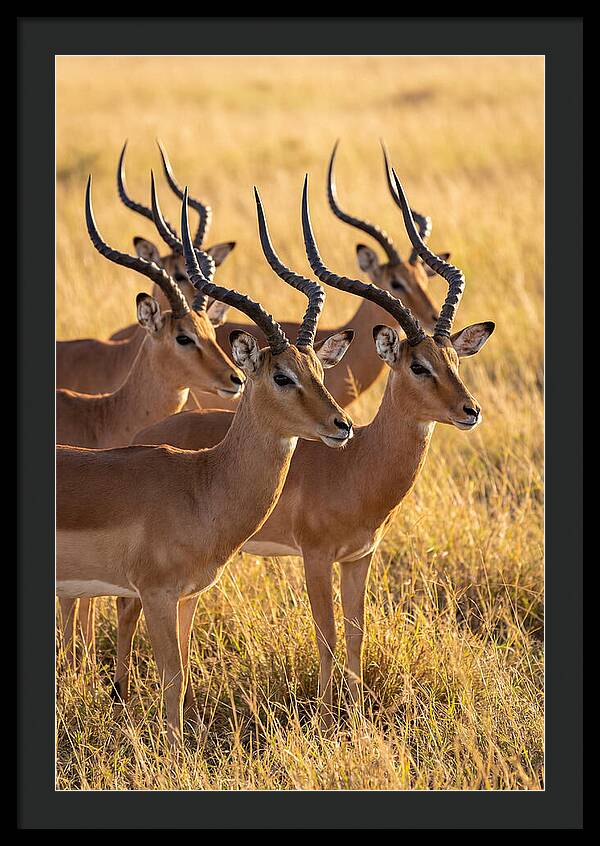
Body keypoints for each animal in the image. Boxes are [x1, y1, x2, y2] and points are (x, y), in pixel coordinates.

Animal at [56, 186, 355, 744]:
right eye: (281, 375)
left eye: (319, 370)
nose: (341, 425)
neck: (201, 485)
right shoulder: (154, 594)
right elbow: (171, 678)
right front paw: (173, 752)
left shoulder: (188, 596)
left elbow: (185, 668)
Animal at [127, 170, 495, 726]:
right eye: (418, 365)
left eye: (454, 358)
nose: (470, 410)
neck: (358, 464)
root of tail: (145, 436)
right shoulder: (316, 557)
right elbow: (327, 636)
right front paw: (325, 718)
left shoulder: (360, 557)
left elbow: (357, 635)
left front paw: (357, 715)